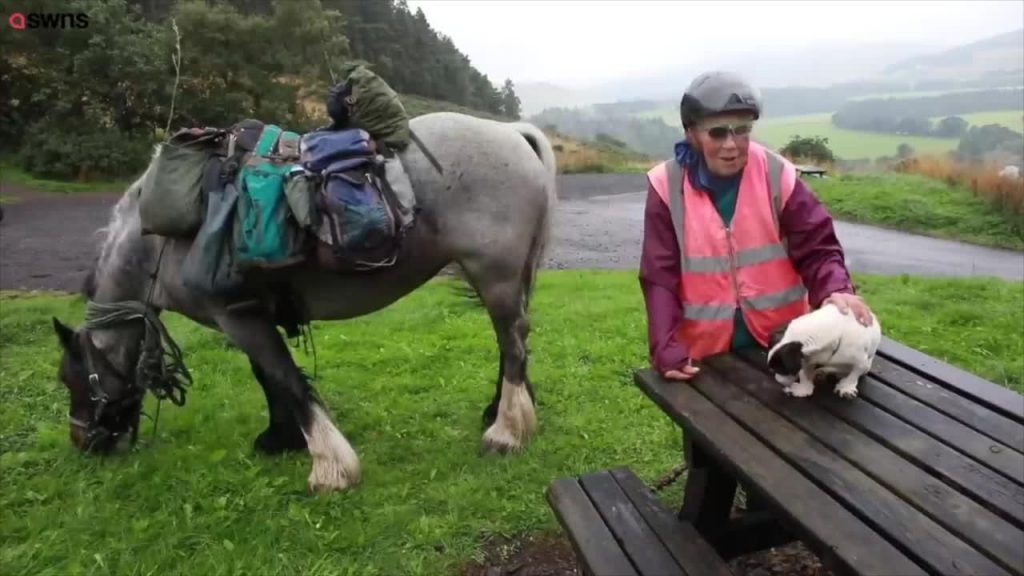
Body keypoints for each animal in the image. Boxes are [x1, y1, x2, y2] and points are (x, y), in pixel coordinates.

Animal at [50, 111, 557, 487]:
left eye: (72, 379)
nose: (85, 442)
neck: (160, 243)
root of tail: (512, 132)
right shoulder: (251, 314)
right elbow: (269, 377)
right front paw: (280, 437)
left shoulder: (235, 316)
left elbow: (286, 379)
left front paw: (330, 467)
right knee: (515, 341)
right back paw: (504, 411)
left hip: (493, 274)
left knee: (513, 342)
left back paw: (506, 432)